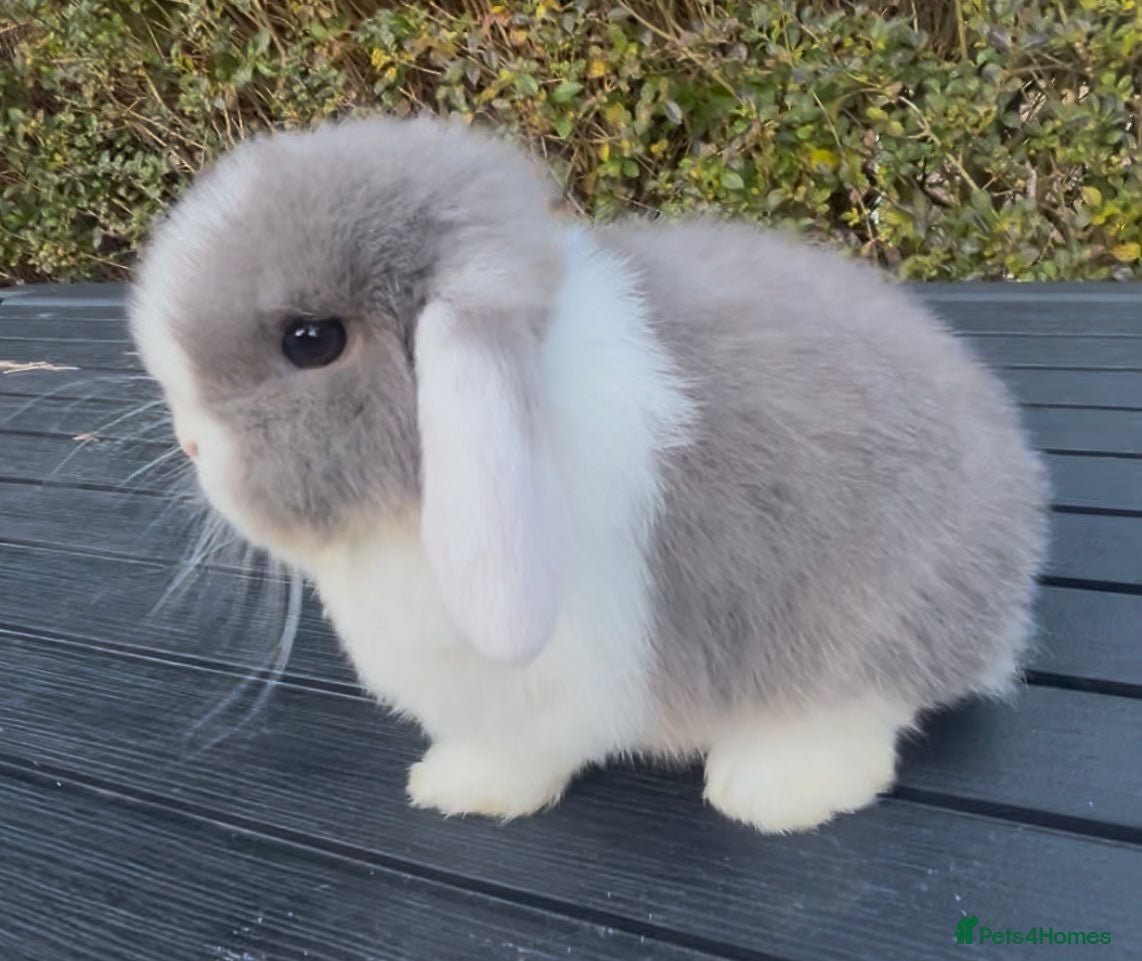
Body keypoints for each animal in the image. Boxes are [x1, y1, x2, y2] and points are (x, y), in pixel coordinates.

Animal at [129, 113, 1050, 834]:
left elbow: (528, 747)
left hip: (870, 621)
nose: (192, 444)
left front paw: (460, 789)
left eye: (310, 340)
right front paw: (444, 779)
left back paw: (771, 788)